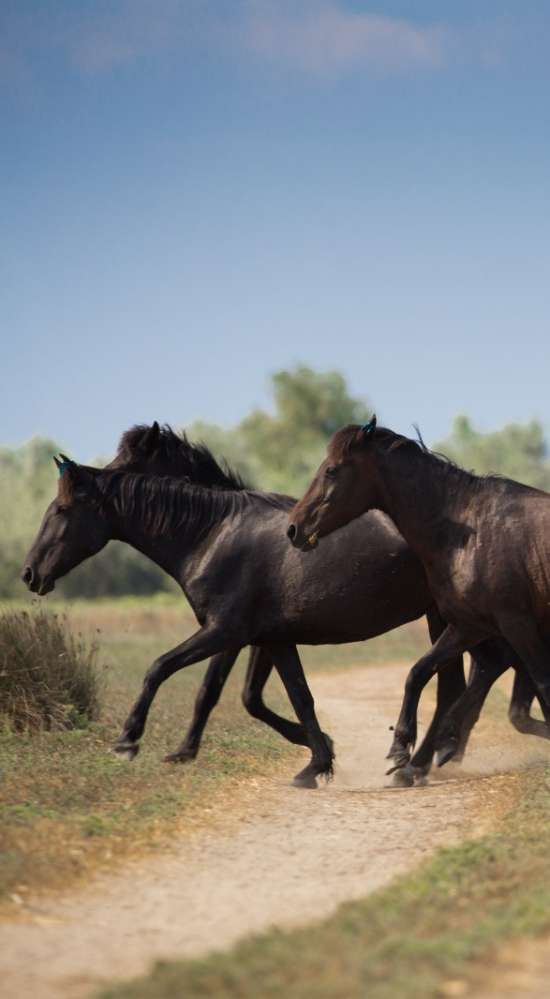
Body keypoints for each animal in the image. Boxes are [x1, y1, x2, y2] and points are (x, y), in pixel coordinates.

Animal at [288, 418, 550, 768]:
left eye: (332, 469)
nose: (294, 528)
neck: (470, 534)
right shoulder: (470, 626)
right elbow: (419, 672)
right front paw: (402, 747)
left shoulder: (518, 625)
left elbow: (542, 685)